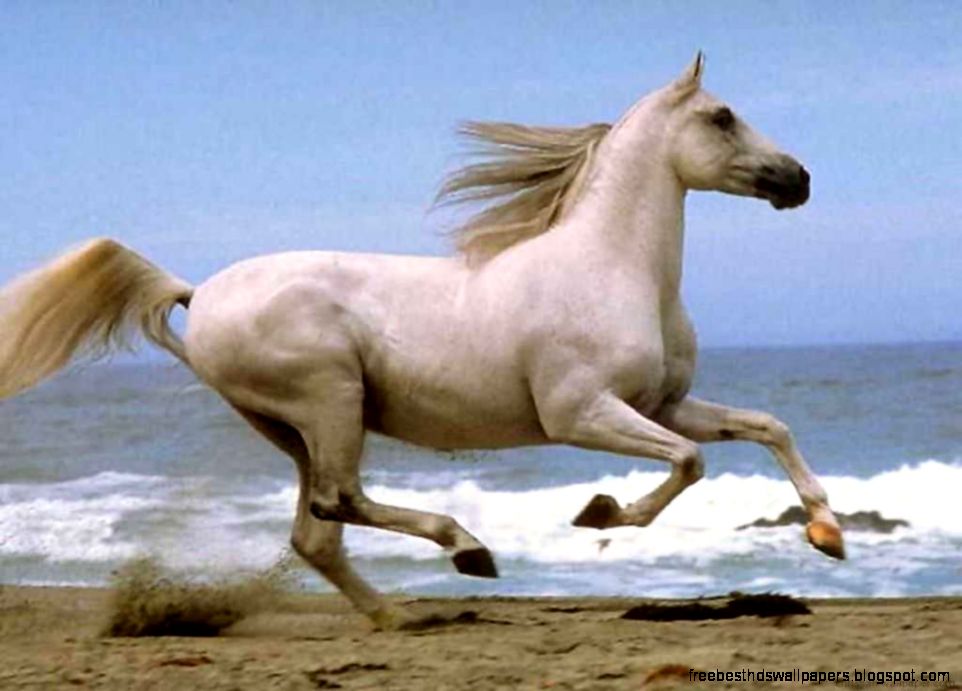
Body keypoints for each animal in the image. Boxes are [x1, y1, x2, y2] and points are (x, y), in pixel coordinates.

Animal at [0, 54, 843, 630]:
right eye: (723, 115)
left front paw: (827, 533)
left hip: (293, 426)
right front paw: (599, 512)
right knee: (339, 501)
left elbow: (767, 427)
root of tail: (198, 292)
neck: (613, 267)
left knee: (316, 532)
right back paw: (466, 549)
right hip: (330, 399)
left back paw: (398, 614)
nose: (798, 178)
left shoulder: (662, 402)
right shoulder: (581, 413)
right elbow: (691, 462)